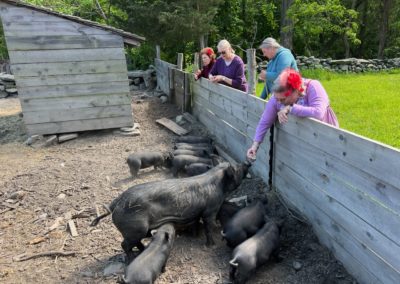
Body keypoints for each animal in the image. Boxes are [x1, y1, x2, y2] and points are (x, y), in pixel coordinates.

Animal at [92, 161, 252, 260]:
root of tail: (115, 203)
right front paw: (211, 245)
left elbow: (195, 223)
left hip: (138, 230)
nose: (247, 163)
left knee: (135, 242)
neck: (219, 185)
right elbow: (208, 226)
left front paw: (195, 236)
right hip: (135, 228)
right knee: (124, 244)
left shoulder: (196, 213)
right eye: (237, 169)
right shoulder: (210, 210)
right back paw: (132, 258)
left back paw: (142, 250)